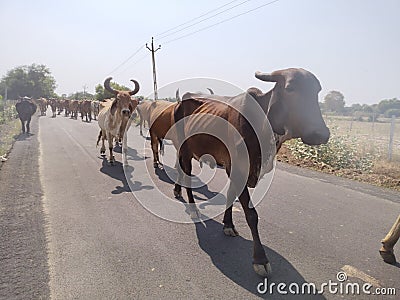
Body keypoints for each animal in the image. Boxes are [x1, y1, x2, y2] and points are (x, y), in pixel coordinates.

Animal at [170, 68, 330, 276]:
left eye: (317, 91)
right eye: (290, 88)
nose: (321, 134)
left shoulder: (234, 169)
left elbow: (231, 196)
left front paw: (228, 225)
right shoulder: (238, 169)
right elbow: (251, 214)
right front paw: (260, 259)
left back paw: (178, 192)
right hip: (185, 149)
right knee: (186, 175)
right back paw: (193, 208)